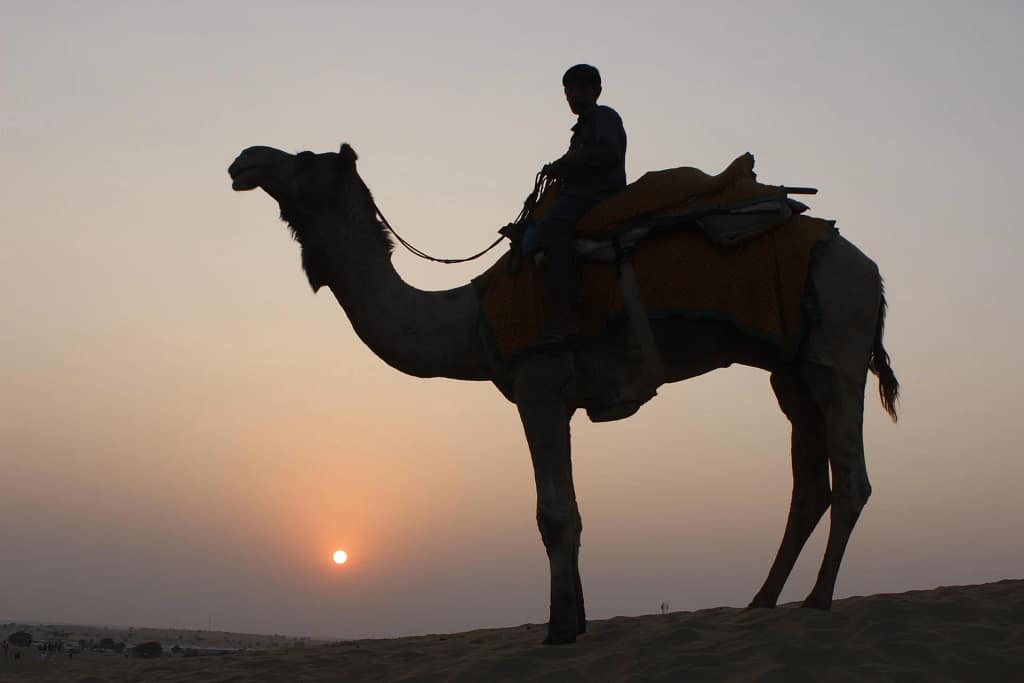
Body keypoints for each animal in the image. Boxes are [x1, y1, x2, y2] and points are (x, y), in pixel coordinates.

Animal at [228, 144, 899, 644]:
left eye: (304, 158)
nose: (245, 159)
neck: (473, 318)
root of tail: (871, 271)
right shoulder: (558, 397)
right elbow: (571, 511)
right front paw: (574, 622)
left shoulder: (539, 384)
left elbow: (553, 515)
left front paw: (557, 630)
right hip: (789, 366)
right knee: (808, 482)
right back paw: (761, 602)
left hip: (837, 344)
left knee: (852, 477)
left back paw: (817, 600)